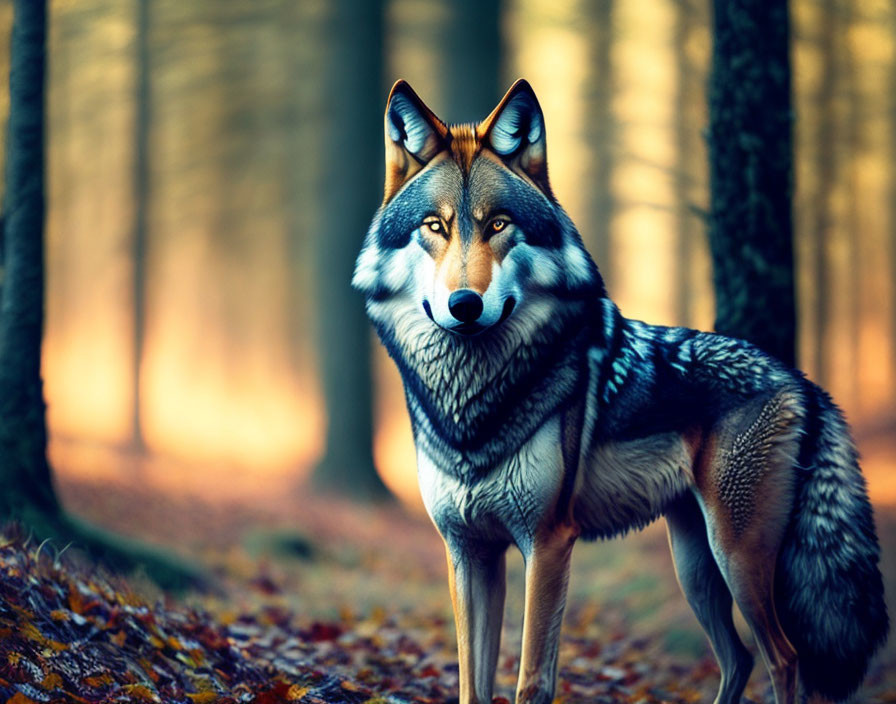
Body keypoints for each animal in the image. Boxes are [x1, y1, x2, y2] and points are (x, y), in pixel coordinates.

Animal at [352, 80, 888, 704]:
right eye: (435, 226)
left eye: (499, 225)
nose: (464, 305)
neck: (471, 406)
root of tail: (799, 379)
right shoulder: (467, 552)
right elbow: (470, 683)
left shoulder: (547, 543)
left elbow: (530, 680)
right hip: (695, 565)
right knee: (739, 658)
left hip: (736, 558)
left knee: (784, 657)